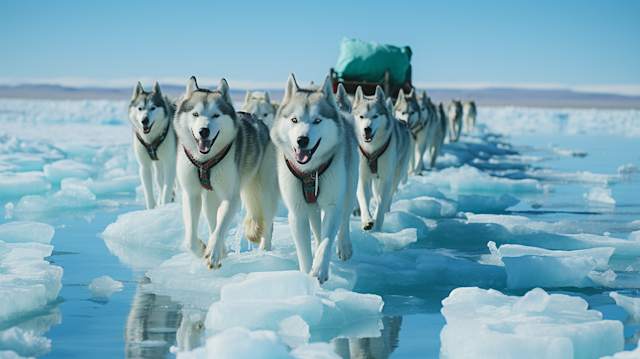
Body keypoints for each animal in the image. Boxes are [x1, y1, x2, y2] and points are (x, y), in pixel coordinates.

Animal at [129, 82, 178, 211]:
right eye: (140, 108)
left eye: (153, 108)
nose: (144, 120)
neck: (151, 140)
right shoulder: (144, 166)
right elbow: (149, 196)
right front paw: (151, 210)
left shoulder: (170, 164)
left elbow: (167, 190)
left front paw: (165, 207)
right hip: (157, 164)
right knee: (158, 180)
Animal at [175, 77, 278, 272]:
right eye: (195, 114)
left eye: (216, 115)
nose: (204, 131)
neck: (204, 162)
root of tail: (260, 121)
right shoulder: (191, 194)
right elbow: (190, 239)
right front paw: (204, 249)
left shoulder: (231, 196)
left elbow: (221, 226)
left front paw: (213, 254)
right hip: (210, 199)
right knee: (212, 220)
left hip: (265, 193)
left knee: (268, 225)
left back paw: (264, 253)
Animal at [272, 75, 360, 284]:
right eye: (294, 119)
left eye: (317, 120)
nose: (302, 140)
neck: (309, 172)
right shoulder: (297, 212)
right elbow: (305, 251)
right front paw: (306, 276)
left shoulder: (333, 205)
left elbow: (327, 242)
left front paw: (319, 270)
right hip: (311, 208)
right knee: (317, 229)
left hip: (350, 189)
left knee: (345, 218)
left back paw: (344, 246)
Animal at [350, 87, 410, 232]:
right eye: (361, 116)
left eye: (375, 116)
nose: (367, 129)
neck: (372, 151)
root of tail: (401, 122)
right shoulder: (362, 178)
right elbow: (364, 202)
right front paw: (367, 221)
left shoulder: (386, 179)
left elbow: (381, 204)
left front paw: (377, 225)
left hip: (395, 177)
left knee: (387, 199)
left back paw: (386, 214)